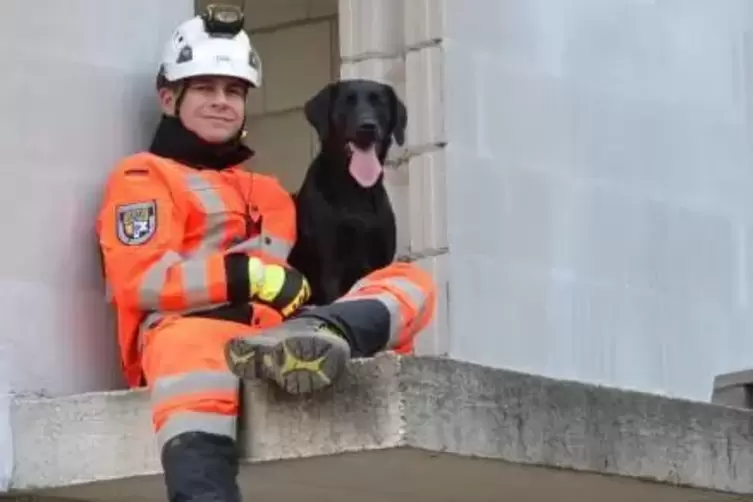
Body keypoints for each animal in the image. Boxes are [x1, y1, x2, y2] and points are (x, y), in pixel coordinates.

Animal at [286, 78, 406, 306]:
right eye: (347, 103)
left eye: (379, 103)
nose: (367, 126)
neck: (354, 191)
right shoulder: (330, 267)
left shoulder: (381, 262)